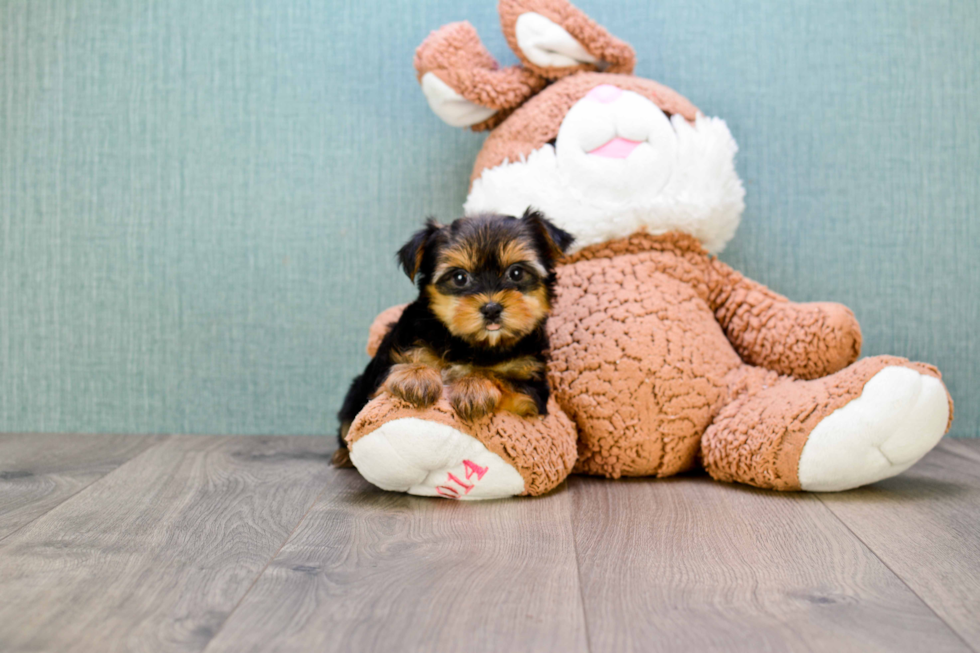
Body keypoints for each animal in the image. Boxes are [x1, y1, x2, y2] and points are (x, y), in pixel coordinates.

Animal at [334, 209, 572, 464]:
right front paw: (416, 376)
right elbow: (389, 378)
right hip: (355, 393)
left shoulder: (533, 390)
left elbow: (506, 381)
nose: (491, 309)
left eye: (516, 273)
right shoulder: (383, 371)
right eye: (460, 278)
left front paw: (474, 385)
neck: (472, 344)